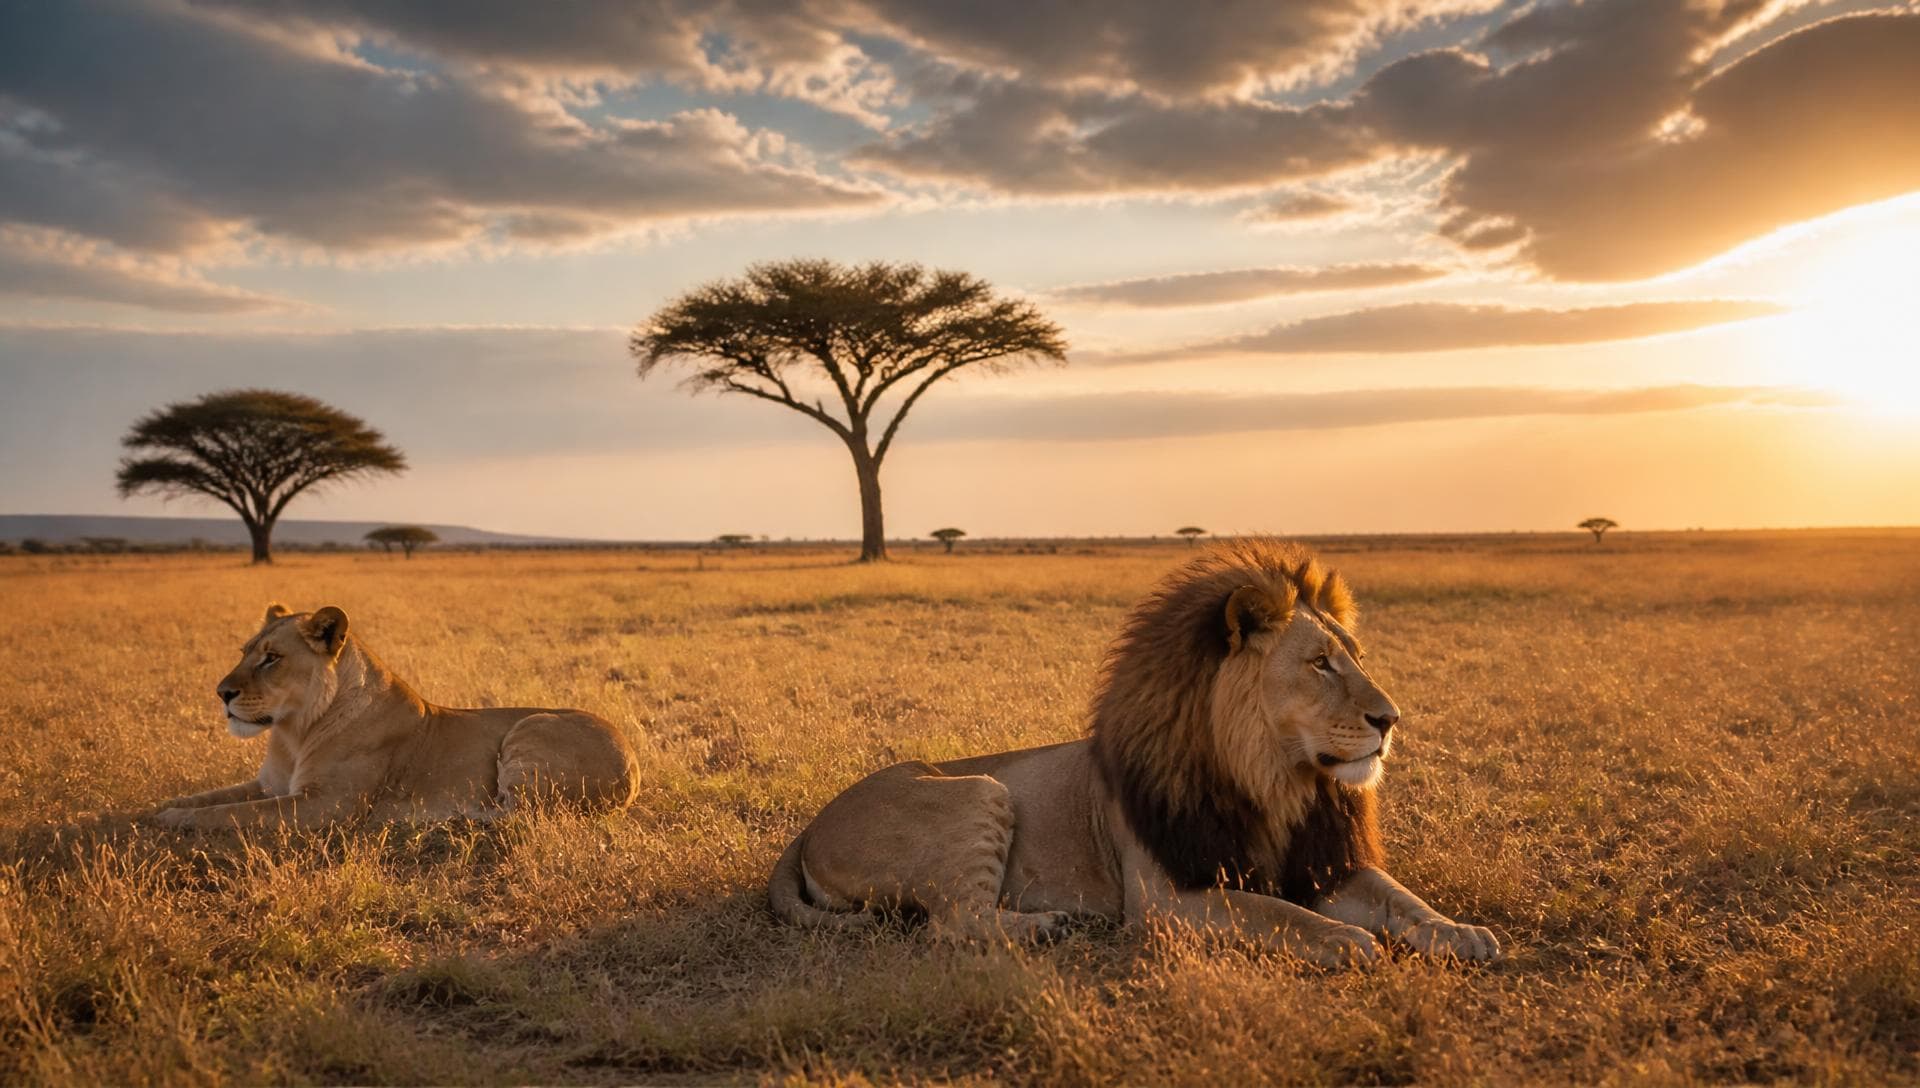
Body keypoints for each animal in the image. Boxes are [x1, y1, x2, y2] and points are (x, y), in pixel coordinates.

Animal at [151, 604, 641, 830]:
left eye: (272, 658)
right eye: (244, 652)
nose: (221, 693)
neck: (292, 732)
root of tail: (635, 766)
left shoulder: (326, 804)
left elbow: (232, 814)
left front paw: (170, 821)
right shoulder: (269, 785)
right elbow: (213, 798)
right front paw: (156, 808)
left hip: (529, 728)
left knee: (521, 816)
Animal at [768, 539, 1499, 966]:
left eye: (1356, 657)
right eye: (1320, 663)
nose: (1390, 720)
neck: (1273, 780)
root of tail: (810, 824)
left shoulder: (1325, 863)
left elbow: (1400, 897)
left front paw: (1461, 932)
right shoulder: (1167, 897)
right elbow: (1271, 911)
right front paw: (1343, 939)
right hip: (981, 792)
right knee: (950, 923)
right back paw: (1045, 926)